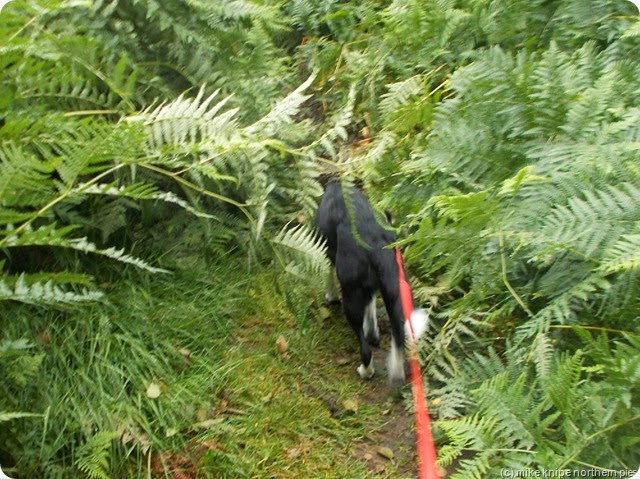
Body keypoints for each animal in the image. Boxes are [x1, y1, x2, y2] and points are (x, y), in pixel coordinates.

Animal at [316, 181, 424, 386]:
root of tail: (376, 248)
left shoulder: (324, 247)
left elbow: (328, 274)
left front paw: (330, 296)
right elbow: (371, 304)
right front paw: (372, 331)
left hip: (351, 295)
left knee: (365, 349)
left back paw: (366, 371)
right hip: (396, 292)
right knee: (399, 334)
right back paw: (397, 371)